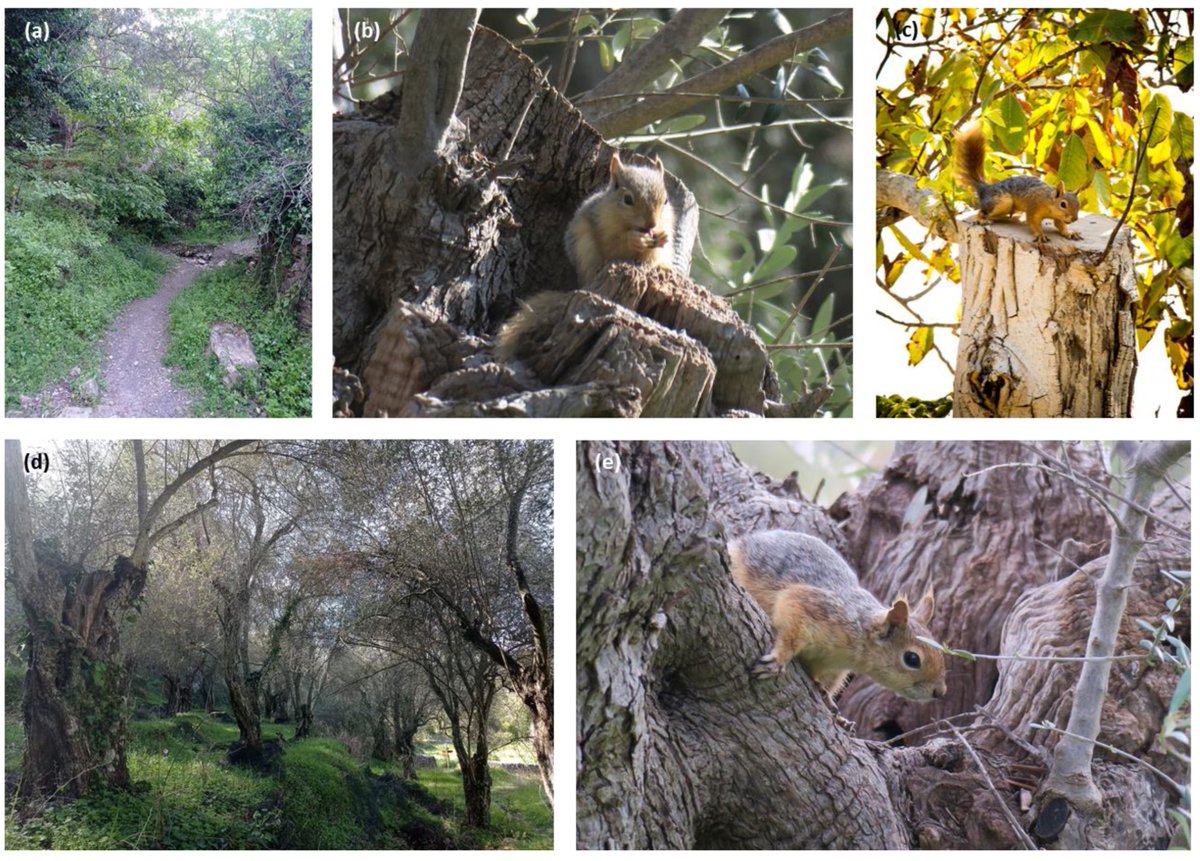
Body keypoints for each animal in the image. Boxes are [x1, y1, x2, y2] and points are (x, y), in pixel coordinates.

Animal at [564, 153, 675, 285]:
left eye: (666, 200)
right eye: (627, 199)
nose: (652, 224)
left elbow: (651, 256)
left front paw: (663, 236)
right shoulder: (601, 224)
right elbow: (611, 247)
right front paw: (634, 239)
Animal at [728, 530, 947, 719]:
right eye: (912, 658)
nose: (940, 692)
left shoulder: (832, 668)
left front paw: (824, 694)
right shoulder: (814, 607)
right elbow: (791, 625)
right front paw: (778, 659)